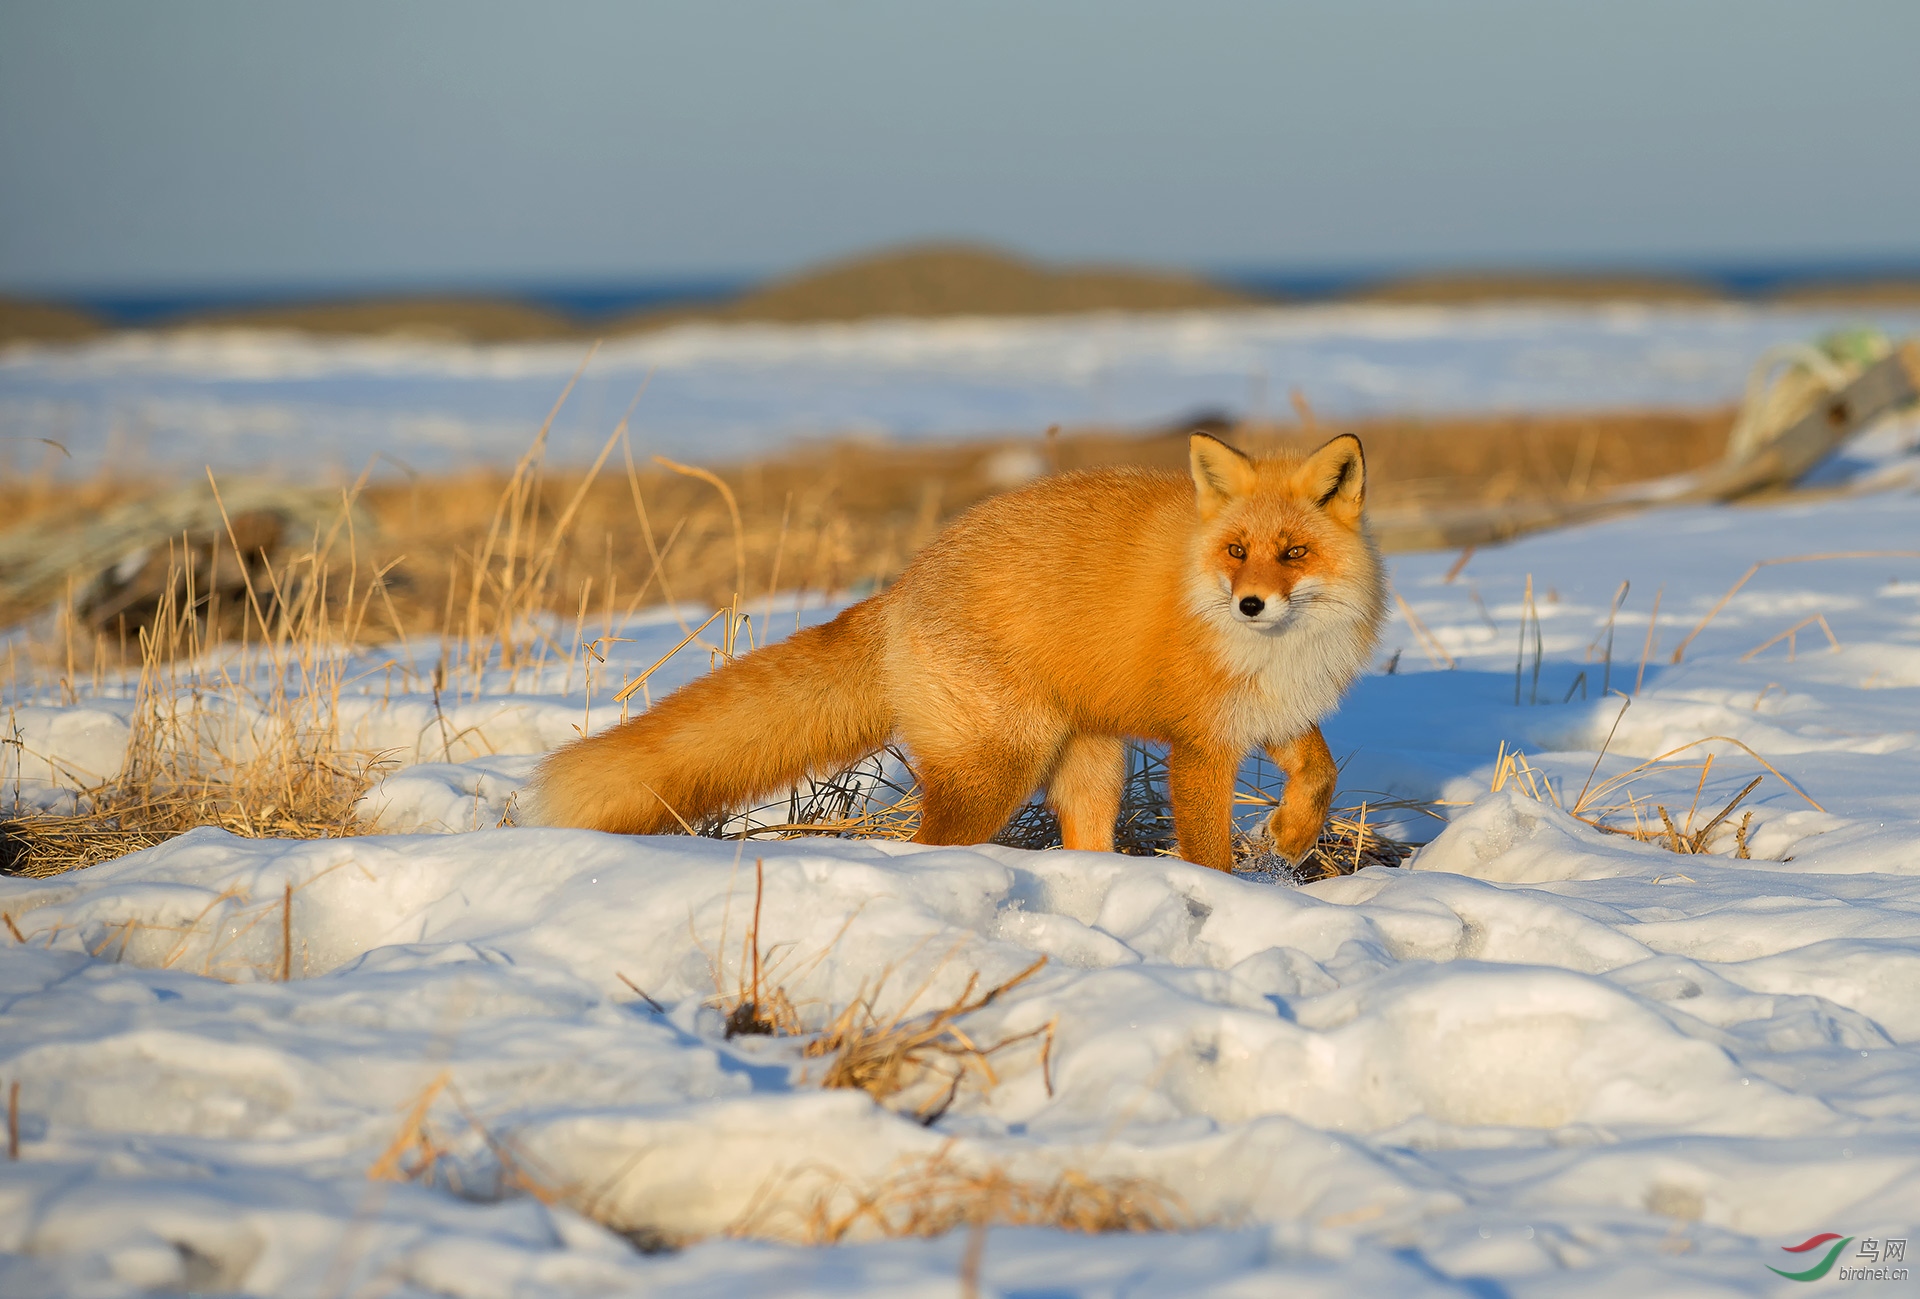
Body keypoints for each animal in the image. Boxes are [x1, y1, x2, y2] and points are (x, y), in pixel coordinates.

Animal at [533, 435, 1390, 871]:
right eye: (1238, 550)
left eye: (1294, 553)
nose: (1250, 605)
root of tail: (906, 581)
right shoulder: (1199, 742)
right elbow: (1208, 850)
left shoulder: (1273, 710)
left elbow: (1320, 774)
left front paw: (1290, 837)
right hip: (996, 767)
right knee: (926, 847)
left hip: (1088, 761)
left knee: (1082, 842)